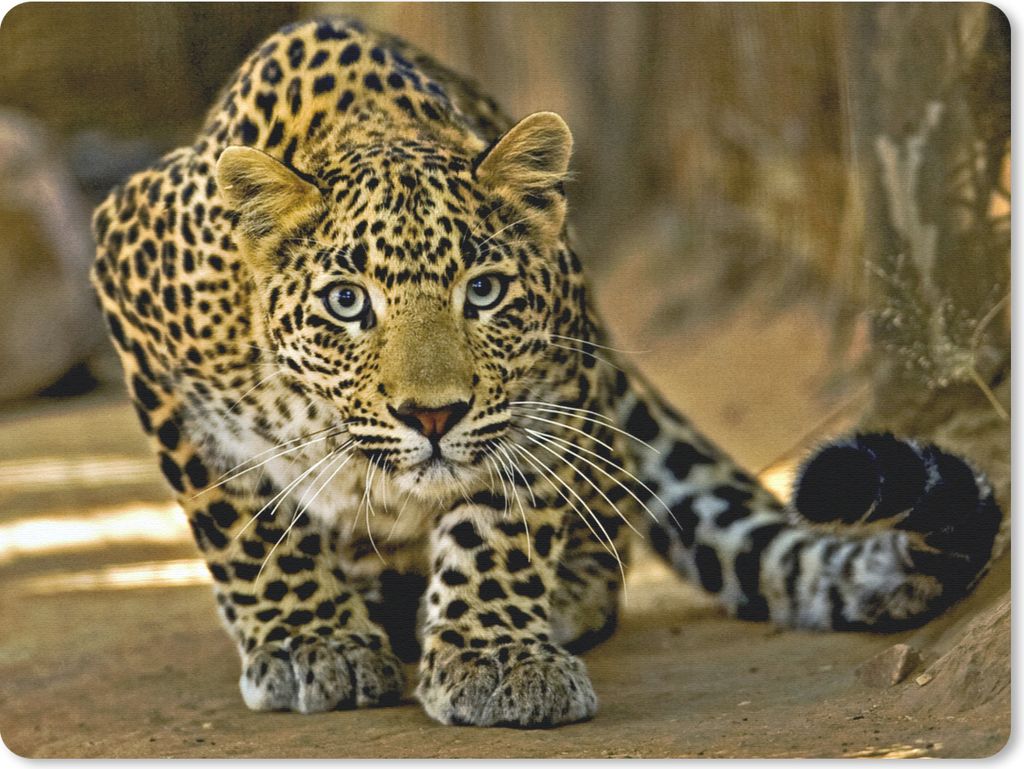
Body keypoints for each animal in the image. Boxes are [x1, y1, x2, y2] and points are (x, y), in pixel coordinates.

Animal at [91, 17, 1003, 728]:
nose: (433, 416)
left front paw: (495, 655)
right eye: (347, 302)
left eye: (484, 290)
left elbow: (501, 522)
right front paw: (310, 641)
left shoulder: (549, 387)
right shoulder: (132, 287)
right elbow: (238, 516)